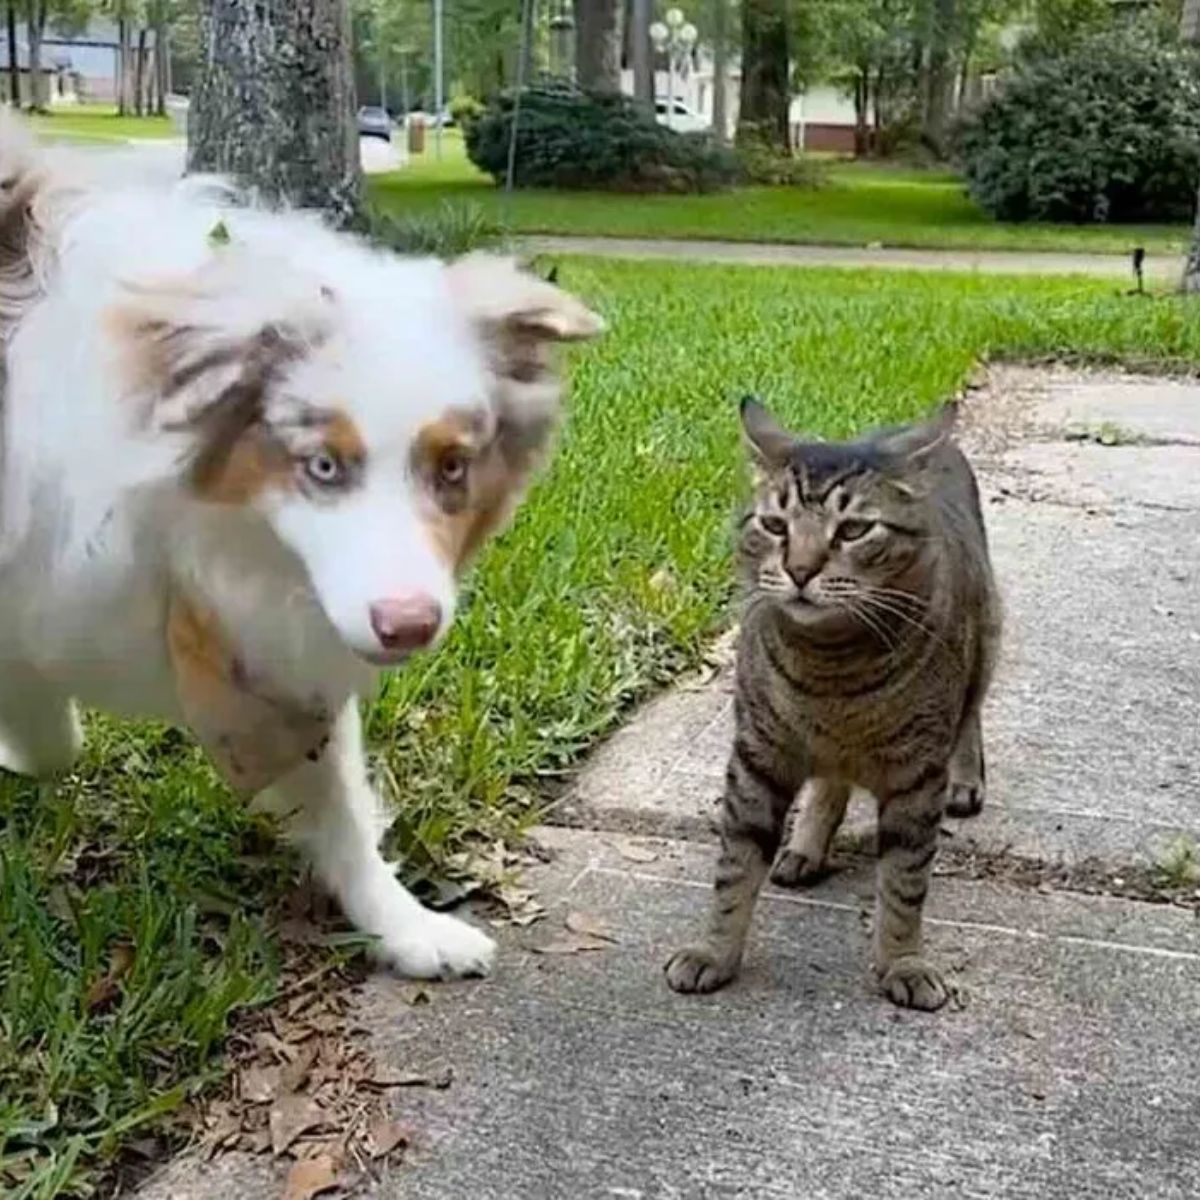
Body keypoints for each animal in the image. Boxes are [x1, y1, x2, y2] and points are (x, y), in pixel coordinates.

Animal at [0, 117, 600, 984]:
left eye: (453, 467)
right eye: (322, 466)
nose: (407, 626)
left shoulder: (280, 642)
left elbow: (337, 795)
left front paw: (405, 925)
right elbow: (49, 726)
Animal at [672, 398, 998, 1008]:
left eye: (853, 530)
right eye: (775, 525)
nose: (800, 570)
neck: (831, 676)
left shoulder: (918, 776)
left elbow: (904, 883)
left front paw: (902, 962)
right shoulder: (757, 757)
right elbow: (735, 868)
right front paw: (714, 952)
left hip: (986, 638)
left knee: (970, 719)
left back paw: (967, 778)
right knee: (829, 783)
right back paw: (806, 845)